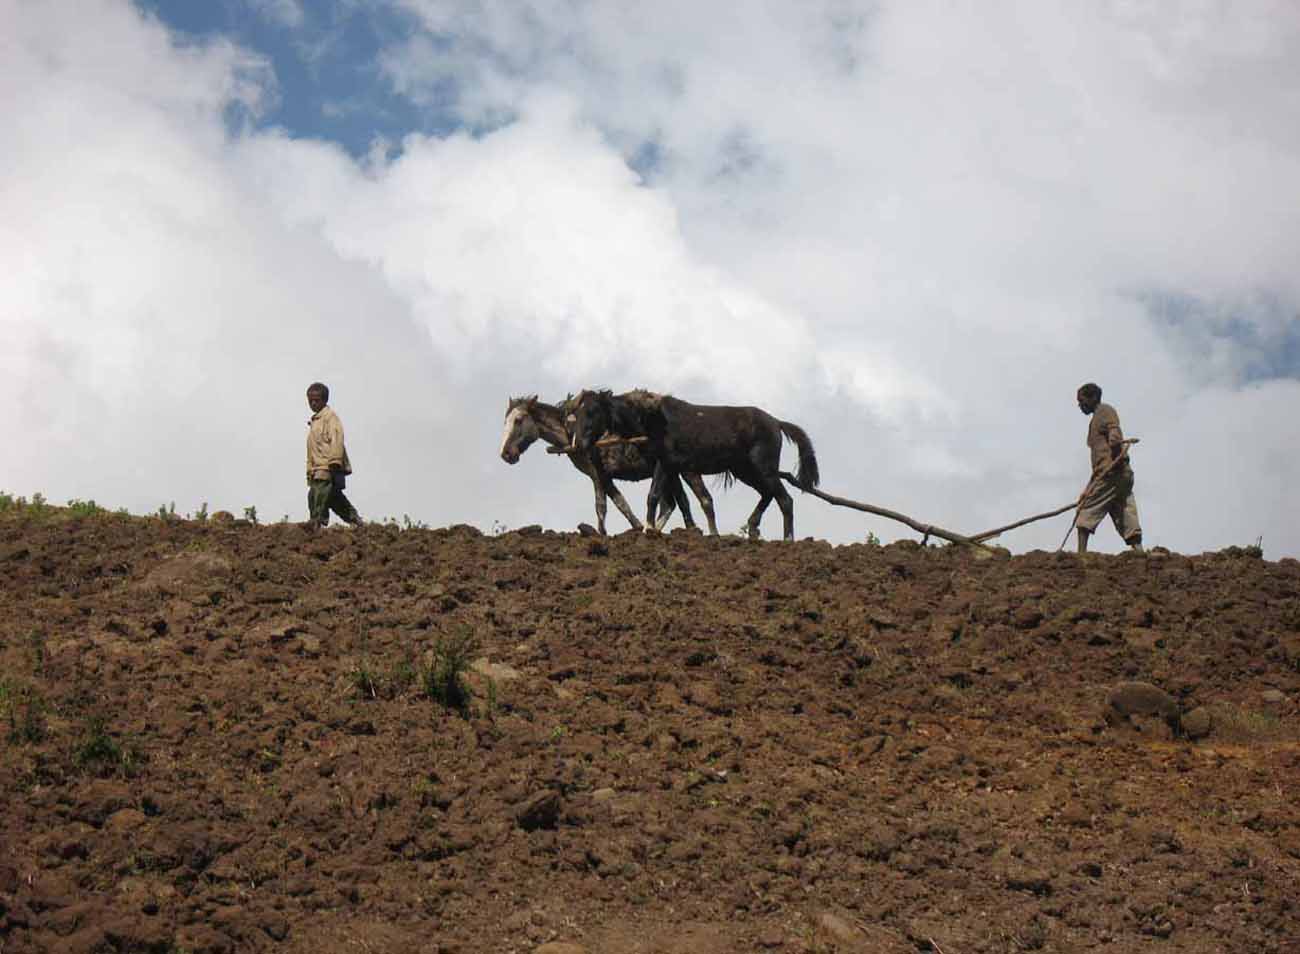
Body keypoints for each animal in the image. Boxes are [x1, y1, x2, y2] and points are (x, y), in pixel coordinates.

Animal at [499, 396, 719, 536]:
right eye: (506, 421)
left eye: (519, 420)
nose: (505, 454)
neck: (573, 432)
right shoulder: (595, 475)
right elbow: (601, 506)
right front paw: (600, 533)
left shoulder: (603, 473)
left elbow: (619, 503)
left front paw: (636, 527)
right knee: (672, 503)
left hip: (686, 471)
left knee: (702, 499)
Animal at [571, 390, 819, 541]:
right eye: (577, 413)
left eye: (593, 411)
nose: (580, 444)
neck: (653, 419)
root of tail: (776, 423)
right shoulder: (671, 468)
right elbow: (674, 501)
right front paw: (654, 528)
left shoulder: (664, 464)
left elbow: (655, 496)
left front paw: (648, 529)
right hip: (745, 470)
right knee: (768, 494)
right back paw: (752, 527)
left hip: (763, 468)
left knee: (785, 499)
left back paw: (787, 540)